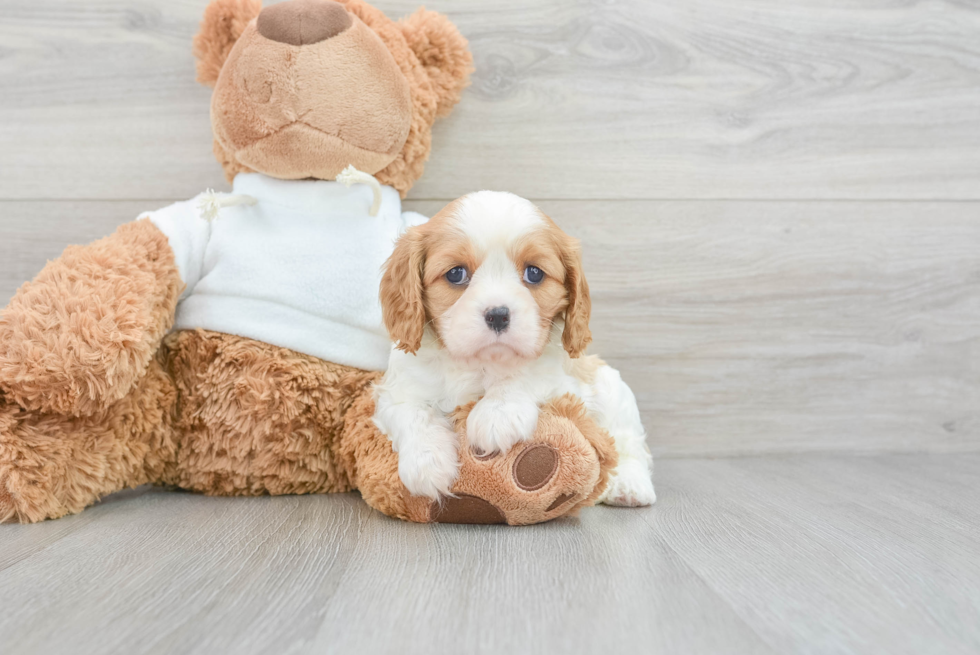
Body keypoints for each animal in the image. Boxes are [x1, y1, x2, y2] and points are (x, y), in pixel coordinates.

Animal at [372, 190, 656, 508]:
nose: (498, 315)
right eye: (456, 274)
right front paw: (427, 463)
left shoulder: (566, 381)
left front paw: (497, 414)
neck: (480, 363)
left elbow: (527, 374)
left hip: (612, 389)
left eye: (534, 273)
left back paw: (629, 485)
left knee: (628, 442)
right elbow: (411, 413)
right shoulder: (397, 390)